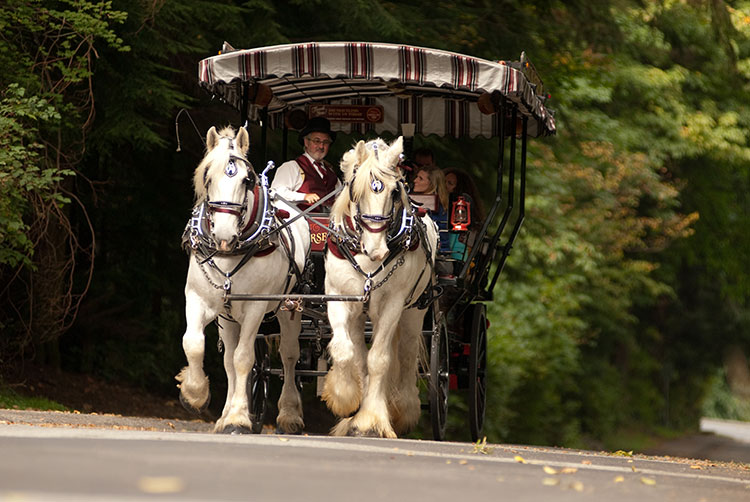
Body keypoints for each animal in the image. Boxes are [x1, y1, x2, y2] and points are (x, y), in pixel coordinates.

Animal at [178, 124, 310, 432]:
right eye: (208, 177)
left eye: (246, 180)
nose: (224, 235)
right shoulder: (198, 299)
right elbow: (194, 343)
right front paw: (195, 394)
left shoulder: (255, 308)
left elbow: (244, 358)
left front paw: (239, 418)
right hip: (228, 317)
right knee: (227, 359)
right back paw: (224, 414)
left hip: (290, 308)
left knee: (289, 354)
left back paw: (289, 414)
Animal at [324, 136, 440, 436]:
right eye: (356, 192)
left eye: (394, 191)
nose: (377, 250)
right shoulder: (339, 297)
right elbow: (345, 351)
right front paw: (345, 400)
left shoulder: (392, 304)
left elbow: (379, 360)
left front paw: (371, 420)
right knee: (359, 354)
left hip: (414, 311)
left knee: (407, 355)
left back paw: (403, 410)